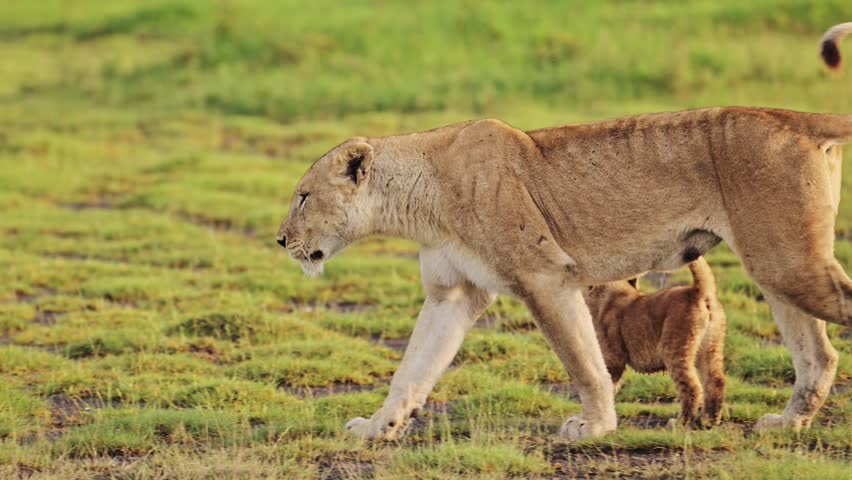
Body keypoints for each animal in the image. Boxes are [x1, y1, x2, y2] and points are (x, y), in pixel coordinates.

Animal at [583, 257, 727, 427]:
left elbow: (608, 383)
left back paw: (680, 423)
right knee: (716, 380)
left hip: (673, 350)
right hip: (710, 348)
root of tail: (697, 291)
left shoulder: (614, 357)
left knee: (692, 387)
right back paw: (710, 421)